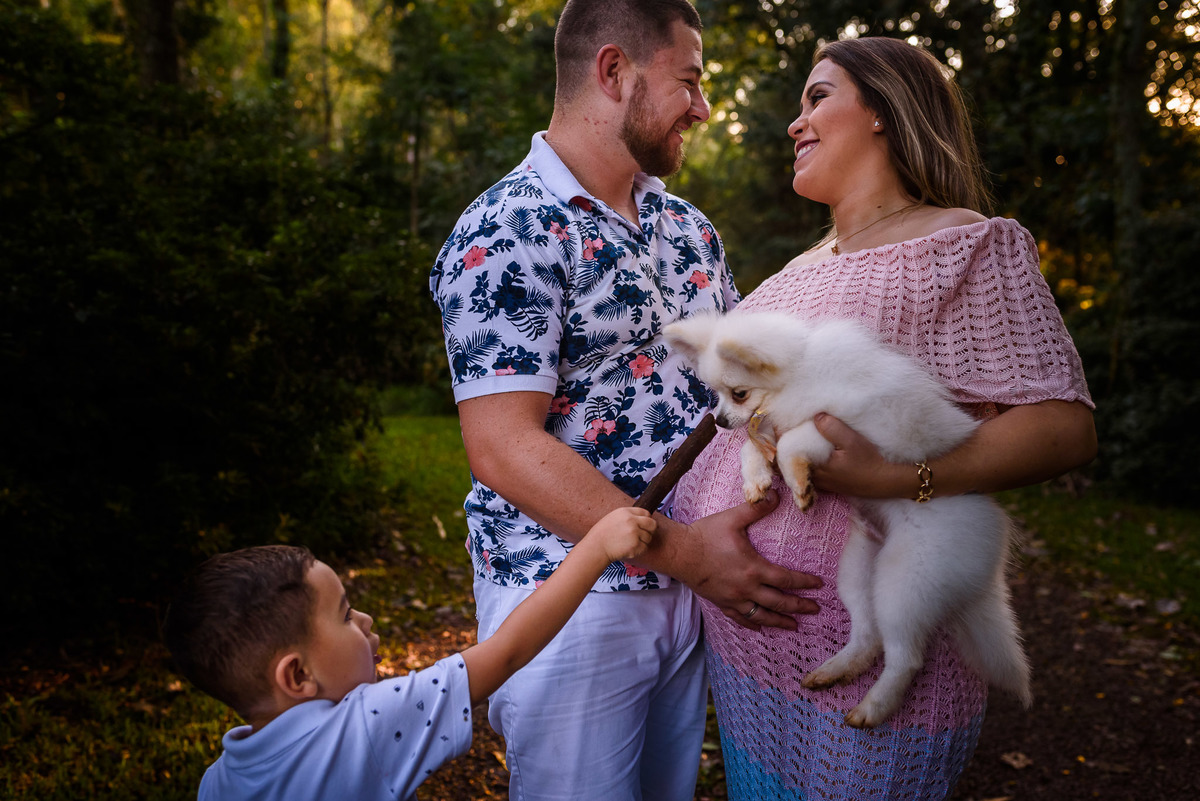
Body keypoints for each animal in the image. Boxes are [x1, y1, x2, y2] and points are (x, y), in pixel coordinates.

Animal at [664, 310, 1032, 728]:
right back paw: (837, 670)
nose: (721, 421)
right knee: (869, 636)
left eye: (738, 392)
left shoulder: (844, 426)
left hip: (904, 583)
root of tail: (988, 557)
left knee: (906, 657)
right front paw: (756, 480)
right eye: (717, 393)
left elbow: (792, 442)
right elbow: (754, 447)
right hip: (859, 568)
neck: (800, 373)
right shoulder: (769, 426)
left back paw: (873, 708)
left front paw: (798, 484)